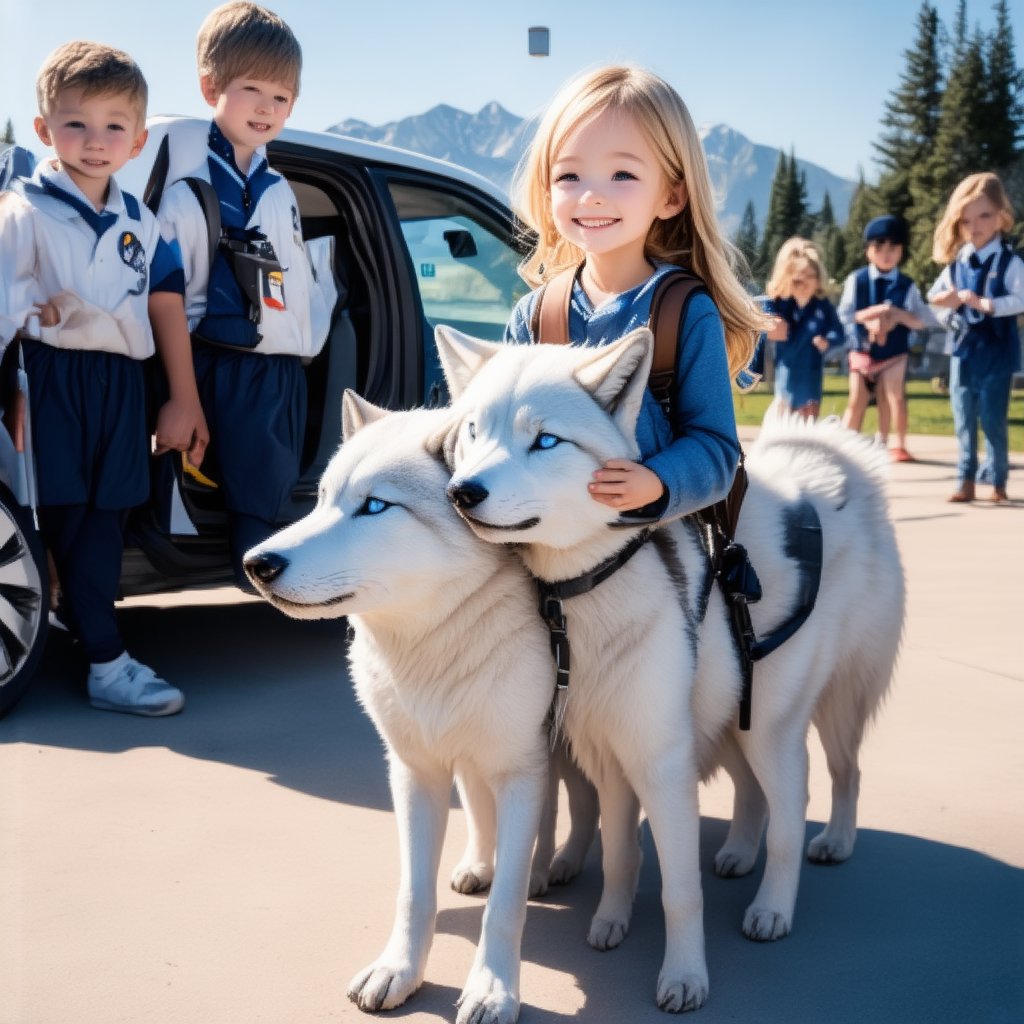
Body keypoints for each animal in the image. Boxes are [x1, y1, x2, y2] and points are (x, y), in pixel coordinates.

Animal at [242, 397, 557, 1024]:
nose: (254, 563)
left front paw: (493, 989)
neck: (431, 650)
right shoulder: (415, 772)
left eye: (375, 506)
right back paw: (478, 866)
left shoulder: (523, 771)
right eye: (321, 500)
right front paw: (399, 972)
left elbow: (504, 907)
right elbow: (414, 893)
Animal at [436, 325, 901, 1007]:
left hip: (788, 722)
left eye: (545, 440)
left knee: (820, 790)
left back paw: (795, 883)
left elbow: (682, 891)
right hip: (735, 714)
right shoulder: (609, 752)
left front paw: (684, 976)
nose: (461, 492)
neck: (590, 589)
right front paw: (611, 920)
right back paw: (739, 851)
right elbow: (621, 849)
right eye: (473, 431)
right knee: (755, 793)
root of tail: (842, 472)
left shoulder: (660, 759)